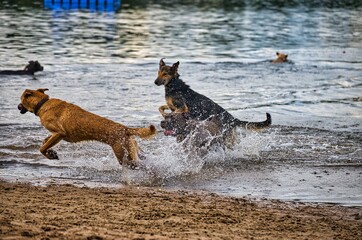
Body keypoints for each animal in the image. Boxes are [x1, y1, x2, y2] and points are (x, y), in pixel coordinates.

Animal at [17, 87, 156, 167]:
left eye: (21, 99)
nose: (18, 106)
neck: (42, 103)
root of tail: (125, 129)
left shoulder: (59, 133)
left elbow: (42, 148)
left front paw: (49, 153)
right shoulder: (55, 135)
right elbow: (45, 142)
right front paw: (51, 152)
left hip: (122, 154)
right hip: (131, 148)